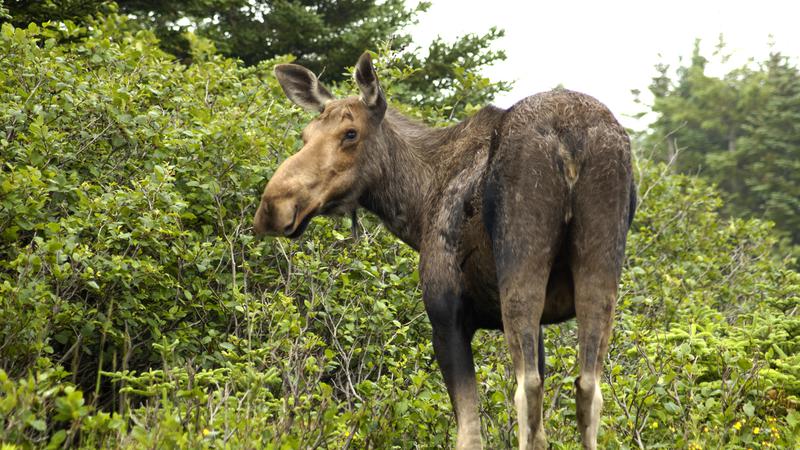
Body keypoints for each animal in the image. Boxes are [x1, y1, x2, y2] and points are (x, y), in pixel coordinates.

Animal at [256, 53, 636, 450]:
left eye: (350, 133)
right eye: (305, 135)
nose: (273, 205)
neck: (418, 206)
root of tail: (570, 139)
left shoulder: (446, 314)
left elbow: (469, 433)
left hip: (521, 263)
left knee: (527, 389)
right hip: (599, 267)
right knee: (588, 388)